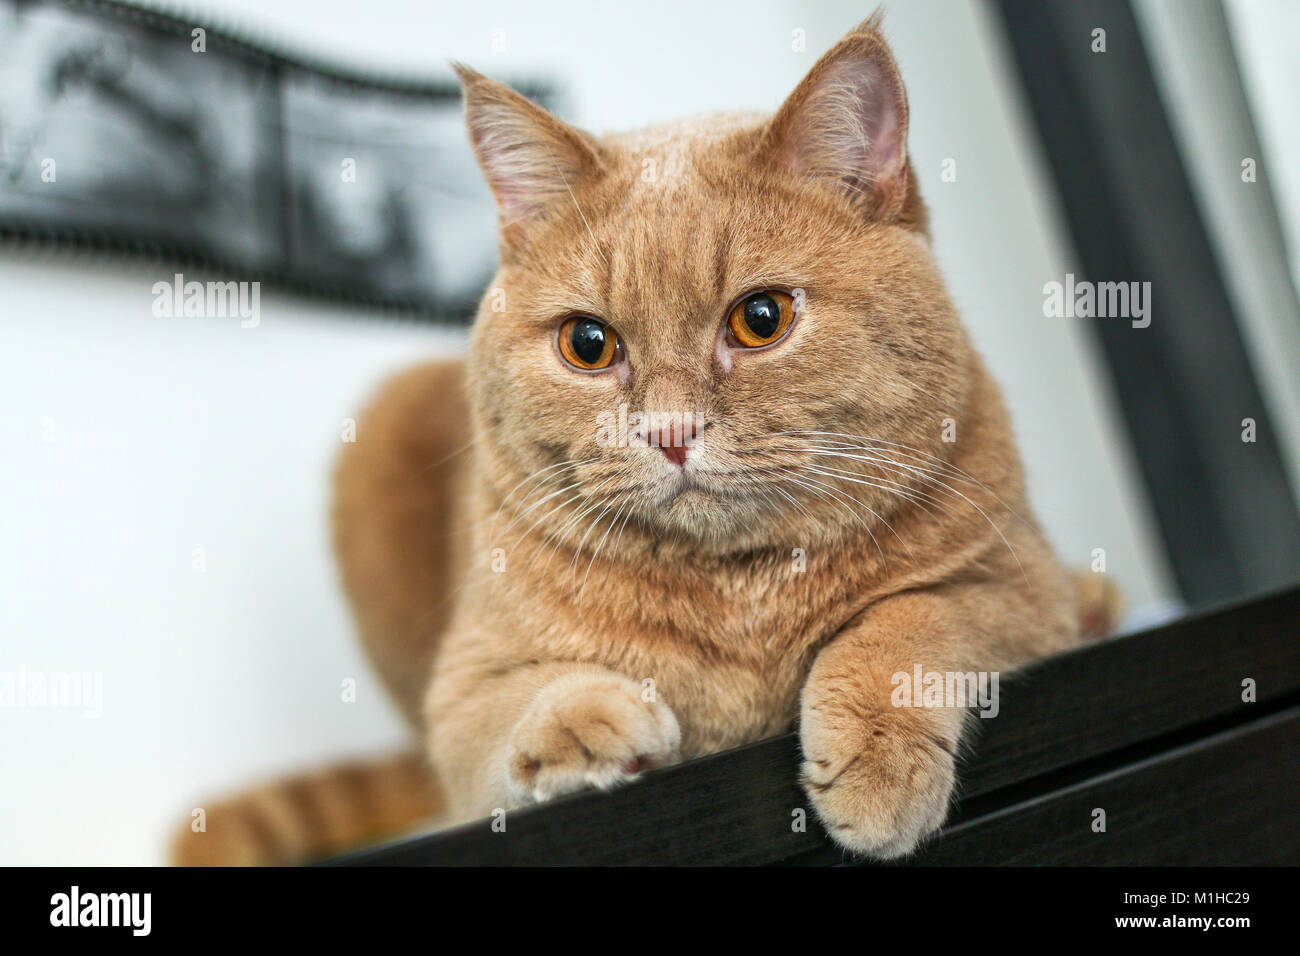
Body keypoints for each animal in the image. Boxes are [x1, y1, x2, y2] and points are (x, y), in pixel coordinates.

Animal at [172, 14, 1118, 868]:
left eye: (761, 318)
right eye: (588, 344)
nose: (669, 432)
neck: (739, 594)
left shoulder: (1015, 583)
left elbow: (912, 618)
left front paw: (876, 760)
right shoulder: (465, 688)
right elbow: (512, 707)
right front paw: (582, 721)